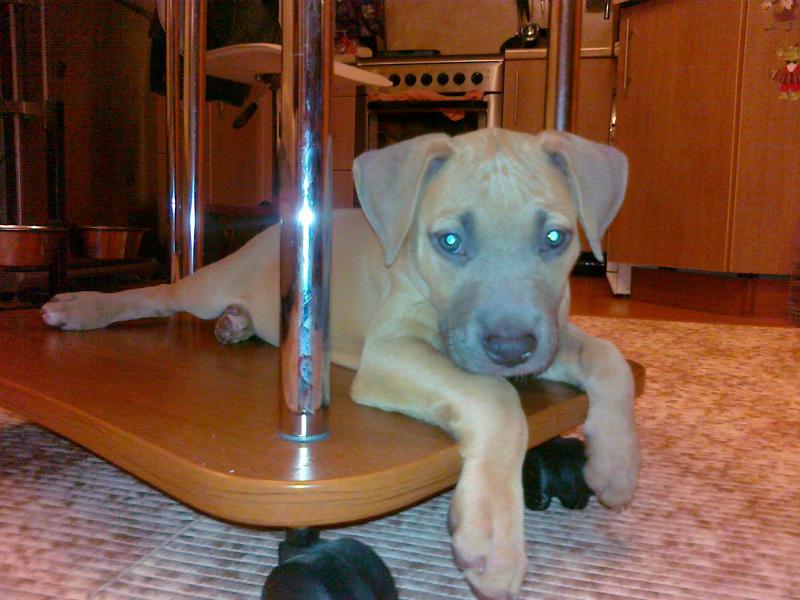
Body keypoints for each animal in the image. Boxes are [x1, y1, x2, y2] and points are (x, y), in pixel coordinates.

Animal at [41, 127, 639, 600]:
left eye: (555, 238)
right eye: (449, 241)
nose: (511, 349)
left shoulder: (552, 332)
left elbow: (611, 359)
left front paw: (613, 466)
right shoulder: (391, 350)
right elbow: (495, 397)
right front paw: (493, 536)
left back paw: (237, 324)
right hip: (206, 284)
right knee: (159, 294)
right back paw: (82, 306)